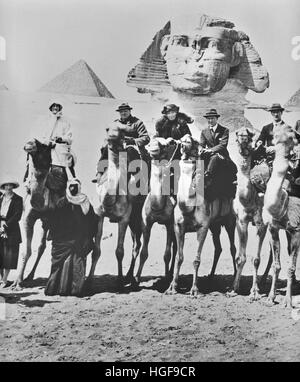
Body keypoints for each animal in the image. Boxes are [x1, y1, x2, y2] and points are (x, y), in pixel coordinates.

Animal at [87, 124, 146, 288]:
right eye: (108, 129)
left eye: (123, 131)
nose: (113, 136)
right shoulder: (99, 215)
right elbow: (96, 251)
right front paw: (88, 282)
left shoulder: (124, 218)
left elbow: (119, 251)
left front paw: (119, 280)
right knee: (136, 243)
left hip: (137, 216)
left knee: (137, 245)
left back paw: (130, 277)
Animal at [134, 137, 178, 284]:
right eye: (149, 143)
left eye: (166, 144)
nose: (153, 148)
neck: (158, 205)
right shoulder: (146, 223)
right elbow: (143, 253)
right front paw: (137, 277)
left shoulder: (170, 223)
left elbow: (167, 254)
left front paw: (166, 277)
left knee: (175, 248)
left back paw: (171, 274)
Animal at [166, 134, 237, 296]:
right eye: (182, 139)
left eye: (194, 141)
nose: (185, 141)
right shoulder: (178, 227)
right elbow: (179, 257)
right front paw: (172, 287)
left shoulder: (202, 228)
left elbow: (196, 260)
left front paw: (194, 289)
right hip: (215, 225)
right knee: (218, 248)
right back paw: (210, 277)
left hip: (230, 221)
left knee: (233, 249)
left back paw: (233, 284)